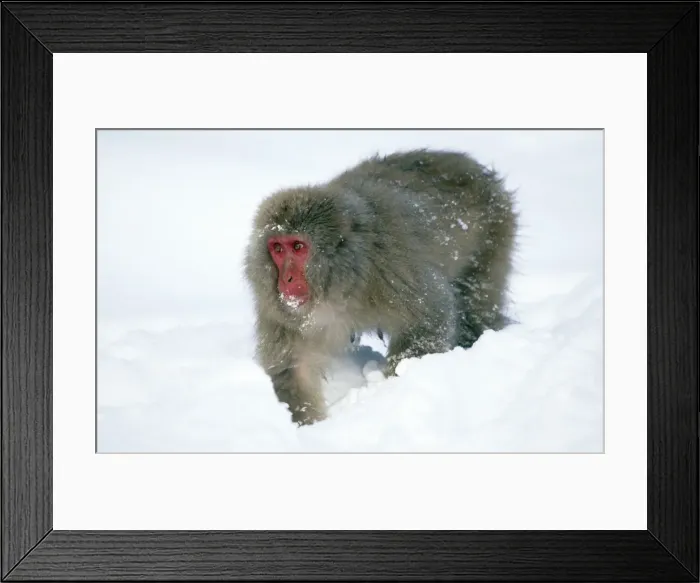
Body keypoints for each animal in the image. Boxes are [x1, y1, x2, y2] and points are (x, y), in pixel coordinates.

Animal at [243, 148, 518, 426]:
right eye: (278, 248)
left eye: (298, 247)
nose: (286, 279)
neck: (340, 282)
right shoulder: (279, 311)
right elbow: (294, 367)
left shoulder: (390, 269)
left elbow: (428, 319)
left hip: (492, 237)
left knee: (475, 310)